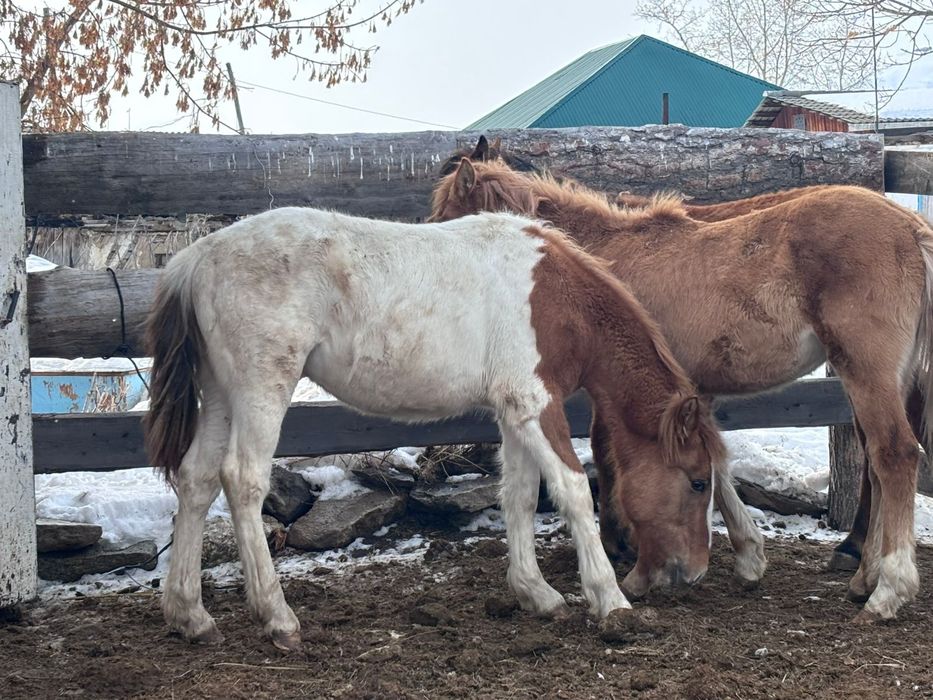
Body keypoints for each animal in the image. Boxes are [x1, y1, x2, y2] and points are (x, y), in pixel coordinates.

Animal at [144, 206, 725, 650]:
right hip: (261, 386)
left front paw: (536, 594)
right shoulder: (535, 404)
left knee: (196, 479)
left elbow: (519, 494)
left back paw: (190, 616)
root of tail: (196, 258)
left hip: (221, 394)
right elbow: (573, 490)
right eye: (698, 481)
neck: (555, 299)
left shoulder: (513, 411)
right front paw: (610, 601)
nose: (695, 572)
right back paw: (278, 617)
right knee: (242, 479)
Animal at [430, 156, 933, 622]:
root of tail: (912, 227)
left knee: (893, 455)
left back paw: (886, 591)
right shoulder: (689, 393)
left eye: (444, 218)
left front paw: (626, 550)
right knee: (875, 463)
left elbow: (612, 454)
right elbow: (715, 461)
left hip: (866, 371)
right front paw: (747, 556)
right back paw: (864, 576)